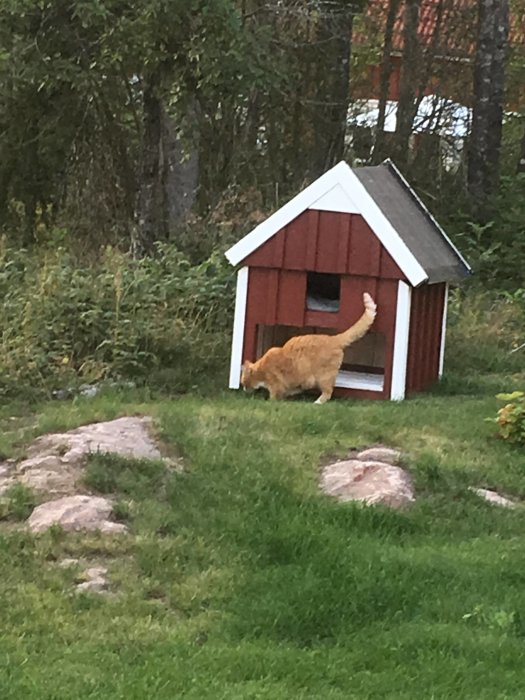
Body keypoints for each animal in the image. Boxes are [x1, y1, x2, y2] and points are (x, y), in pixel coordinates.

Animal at [242, 292, 376, 404]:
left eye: (243, 382)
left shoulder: (276, 384)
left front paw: (270, 401)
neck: (262, 369)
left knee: (328, 392)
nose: (243, 388)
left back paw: (317, 402)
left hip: (323, 377)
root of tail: (334, 338)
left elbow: (274, 397)